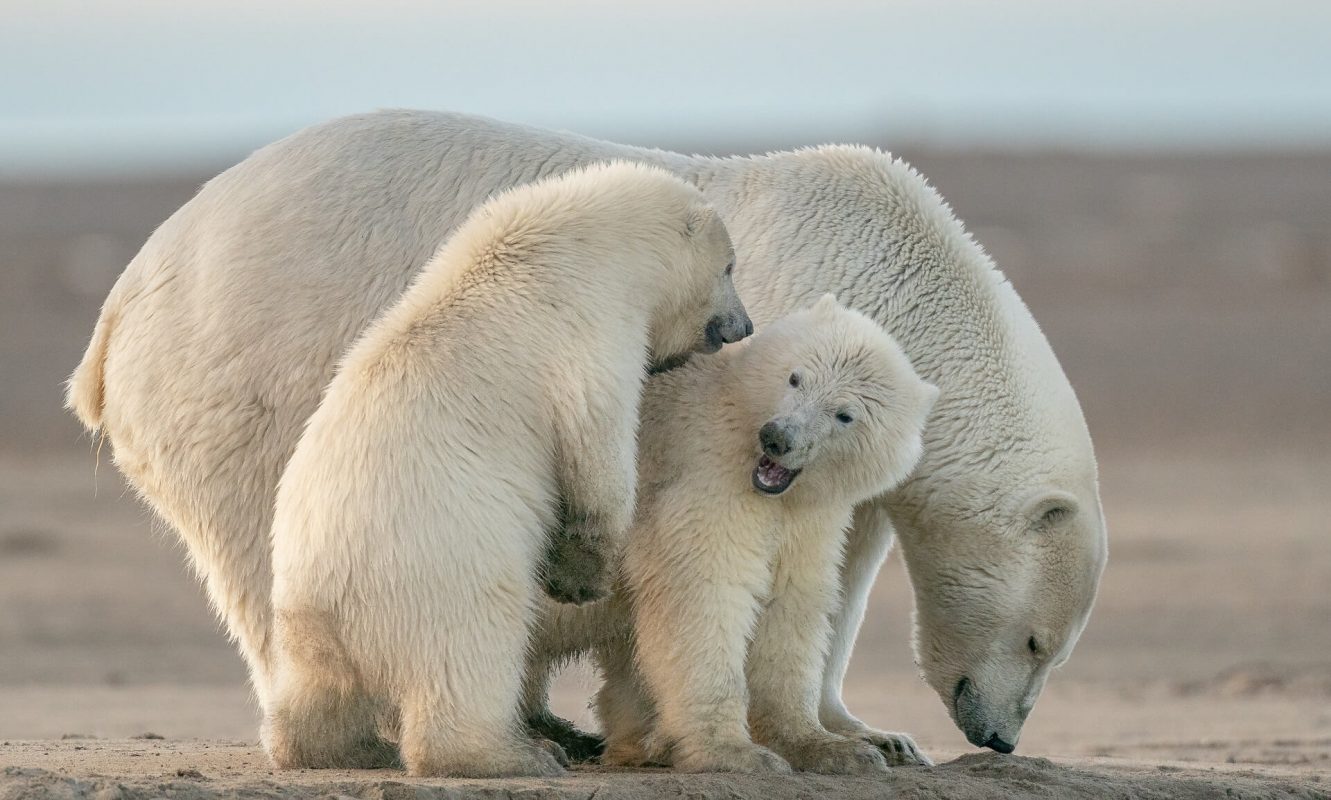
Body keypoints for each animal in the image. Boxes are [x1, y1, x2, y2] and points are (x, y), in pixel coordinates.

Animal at [259, 159, 750, 777]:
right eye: (729, 266)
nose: (743, 326)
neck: (575, 244)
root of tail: (334, 599)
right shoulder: (589, 334)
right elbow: (597, 452)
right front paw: (581, 577)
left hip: (303, 618)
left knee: (314, 692)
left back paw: (340, 747)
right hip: (444, 571)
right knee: (473, 651)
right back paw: (518, 754)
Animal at [593, 294, 937, 772]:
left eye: (845, 414)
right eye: (795, 377)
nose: (778, 437)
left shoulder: (806, 522)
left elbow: (789, 606)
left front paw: (828, 747)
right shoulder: (706, 480)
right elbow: (704, 594)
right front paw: (734, 752)